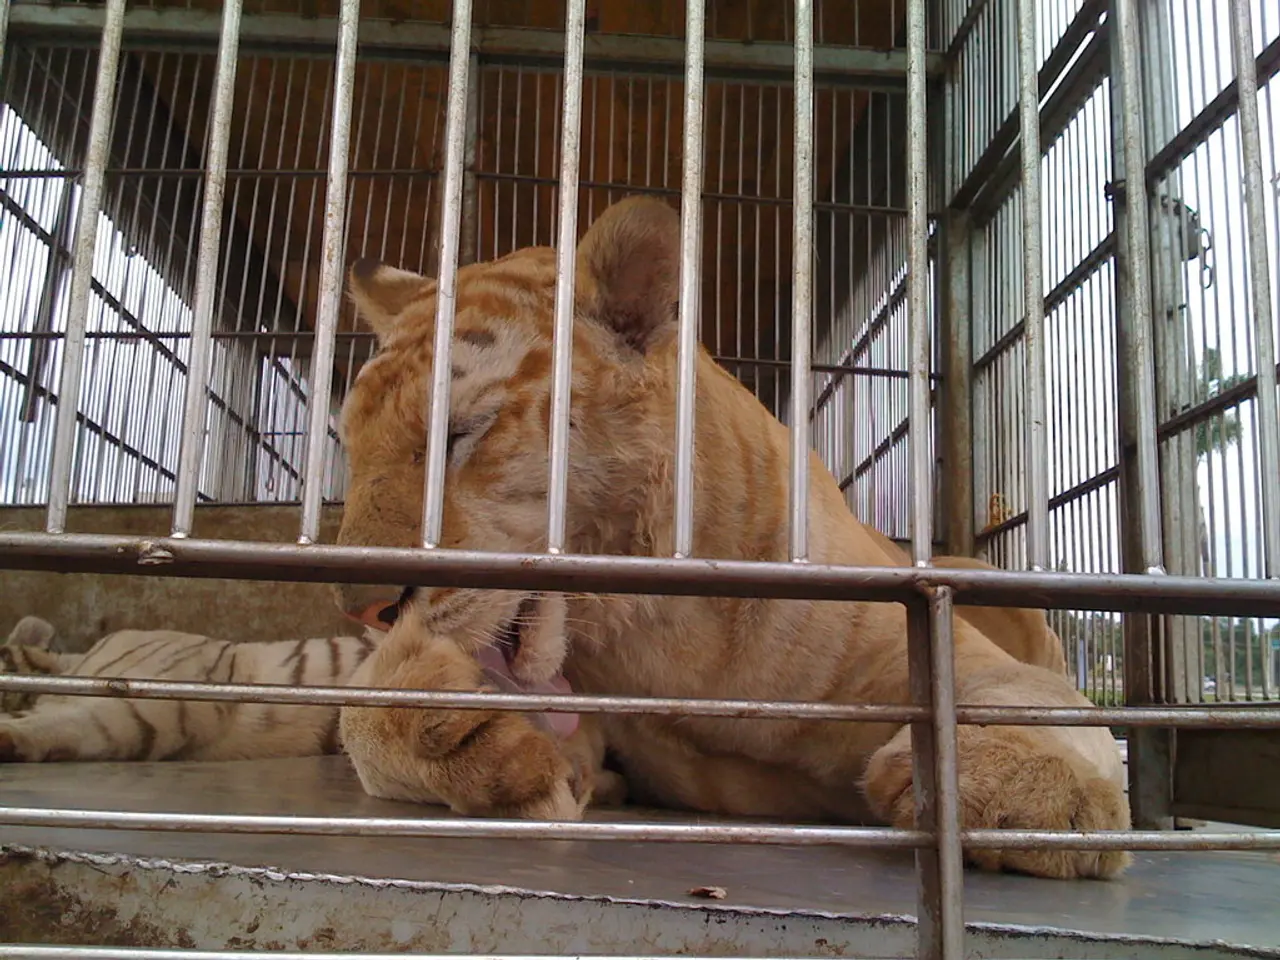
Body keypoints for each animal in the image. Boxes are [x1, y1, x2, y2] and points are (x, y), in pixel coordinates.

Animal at [327, 195, 1129, 880]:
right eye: (351, 448)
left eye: (461, 433)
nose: (363, 608)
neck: (659, 627)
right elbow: (358, 712)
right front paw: (458, 725)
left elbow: (1021, 694)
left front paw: (1028, 791)